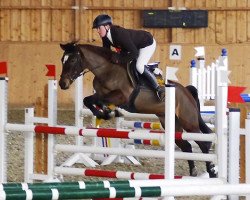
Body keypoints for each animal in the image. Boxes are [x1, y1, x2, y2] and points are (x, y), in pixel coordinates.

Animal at [58, 41, 217, 177]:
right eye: (62, 60)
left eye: (72, 60)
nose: (62, 84)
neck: (107, 70)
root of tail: (186, 91)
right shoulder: (101, 94)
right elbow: (88, 100)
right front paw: (106, 112)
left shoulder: (122, 97)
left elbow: (97, 100)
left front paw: (107, 113)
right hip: (171, 123)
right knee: (187, 146)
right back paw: (193, 172)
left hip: (188, 122)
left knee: (203, 143)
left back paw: (211, 171)